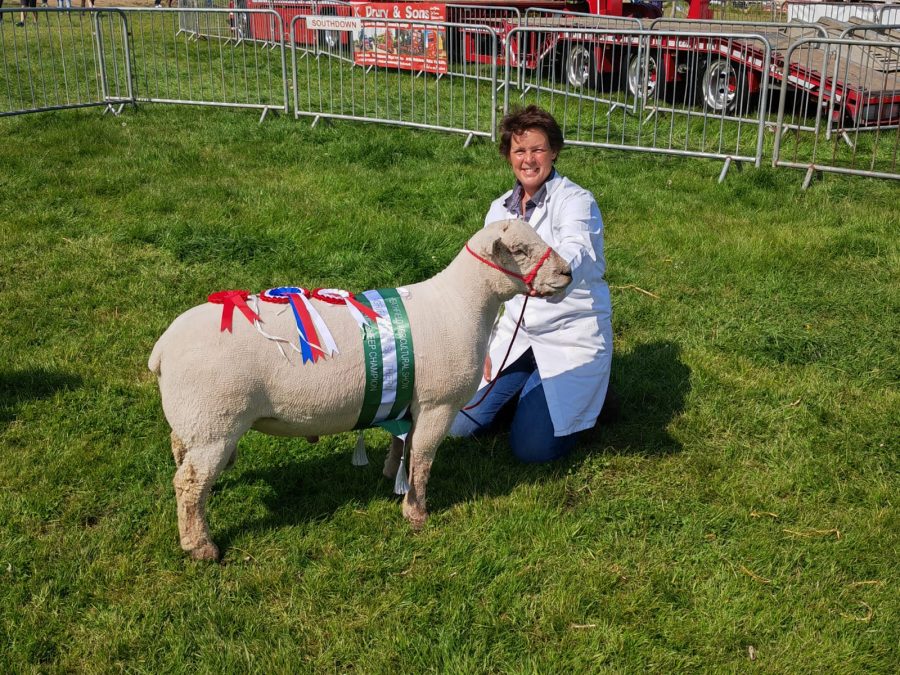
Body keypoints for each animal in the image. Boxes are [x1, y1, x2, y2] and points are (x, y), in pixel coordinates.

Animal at [147, 219, 568, 564]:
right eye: (519, 250)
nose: (567, 272)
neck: (462, 306)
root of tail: (163, 349)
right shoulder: (439, 404)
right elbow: (423, 459)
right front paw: (417, 513)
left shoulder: (408, 399)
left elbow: (404, 446)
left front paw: (391, 477)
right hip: (216, 421)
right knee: (188, 483)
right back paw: (201, 547)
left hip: (197, 418)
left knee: (180, 454)